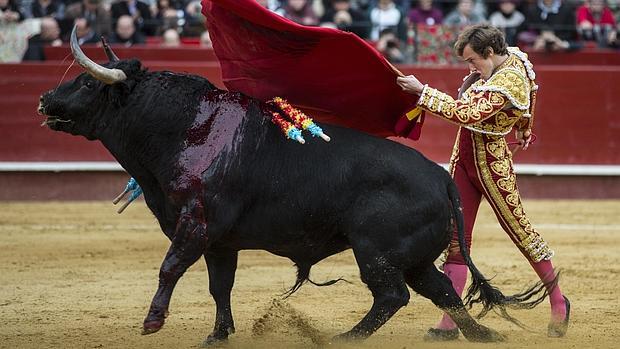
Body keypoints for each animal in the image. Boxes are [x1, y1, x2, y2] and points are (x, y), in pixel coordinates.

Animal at [37, 26, 548, 342]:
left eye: (86, 83)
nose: (44, 99)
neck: (184, 128)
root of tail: (441, 177)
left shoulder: (194, 226)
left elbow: (169, 269)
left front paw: (152, 322)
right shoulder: (220, 241)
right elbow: (219, 287)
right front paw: (217, 335)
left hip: (377, 251)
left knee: (393, 295)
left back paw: (342, 338)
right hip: (414, 256)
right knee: (440, 289)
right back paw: (481, 334)